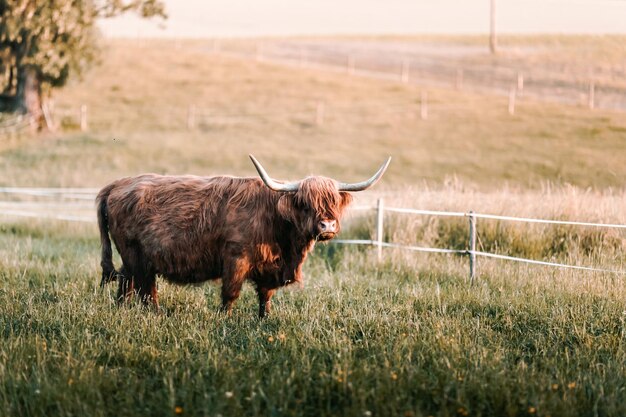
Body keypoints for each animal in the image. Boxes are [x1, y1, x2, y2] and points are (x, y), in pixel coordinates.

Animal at [96, 155, 390, 316]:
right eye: (305, 203)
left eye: (333, 202)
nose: (327, 226)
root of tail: (117, 184)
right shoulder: (236, 259)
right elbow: (230, 295)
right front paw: (224, 321)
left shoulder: (270, 266)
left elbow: (265, 296)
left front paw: (265, 320)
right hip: (137, 255)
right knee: (144, 289)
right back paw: (154, 315)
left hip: (132, 258)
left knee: (126, 284)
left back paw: (123, 311)